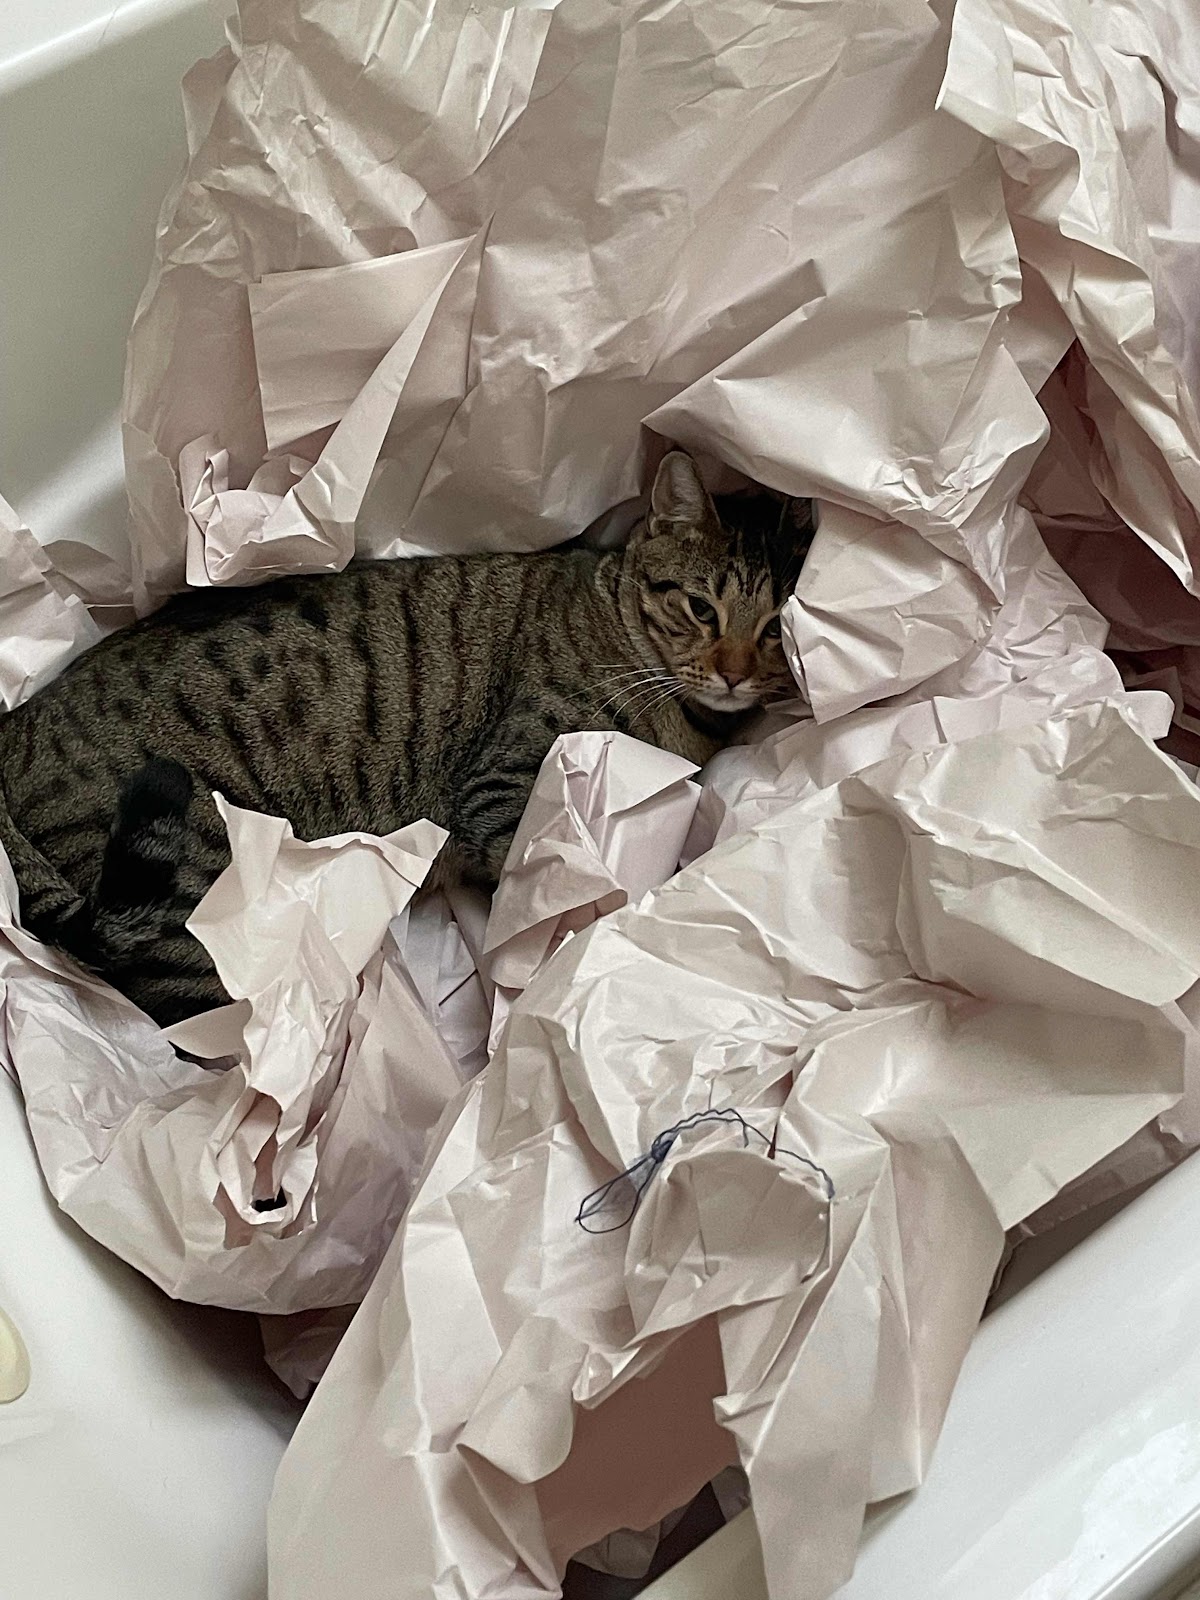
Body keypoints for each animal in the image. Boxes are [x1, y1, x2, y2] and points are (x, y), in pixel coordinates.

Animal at [0, 451, 812, 1024]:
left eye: (778, 628)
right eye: (702, 608)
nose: (734, 674)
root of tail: (16, 724)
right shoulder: (506, 786)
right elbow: (582, 883)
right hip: (185, 905)